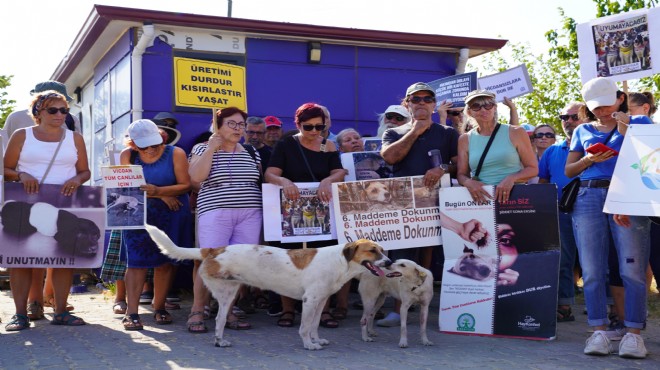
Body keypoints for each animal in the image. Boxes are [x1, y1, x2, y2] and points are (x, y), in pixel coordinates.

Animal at [145, 225, 392, 350]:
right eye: (372, 251)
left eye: (383, 250)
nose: (390, 262)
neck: (341, 261)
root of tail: (213, 249)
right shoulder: (310, 301)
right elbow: (304, 327)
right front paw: (308, 345)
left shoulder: (321, 301)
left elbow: (314, 326)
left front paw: (316, 340)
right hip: (225, 292)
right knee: (218, 318)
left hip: (229, 294)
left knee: (220, 320)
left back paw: (220, 341)